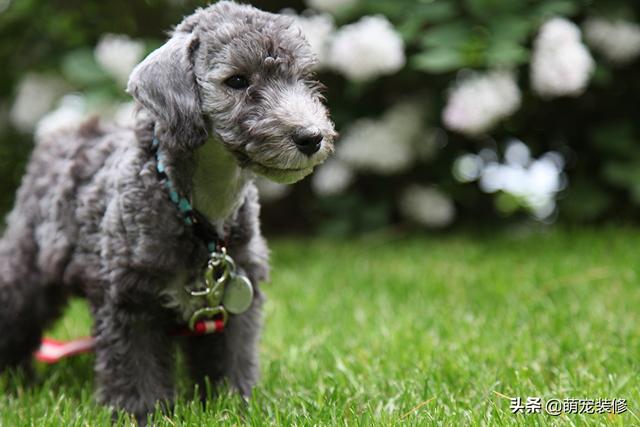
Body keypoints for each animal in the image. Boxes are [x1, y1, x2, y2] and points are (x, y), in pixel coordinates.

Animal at [0, 0, 338, 422]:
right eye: (237, 81)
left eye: (302, 77)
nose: (311, 137)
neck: (199, 210)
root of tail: (62, 135)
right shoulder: (130, 299)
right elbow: (137, 368)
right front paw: (142, 413)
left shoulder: (237, 301)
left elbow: (232, 359)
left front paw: (235, 404)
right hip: (27, 266)